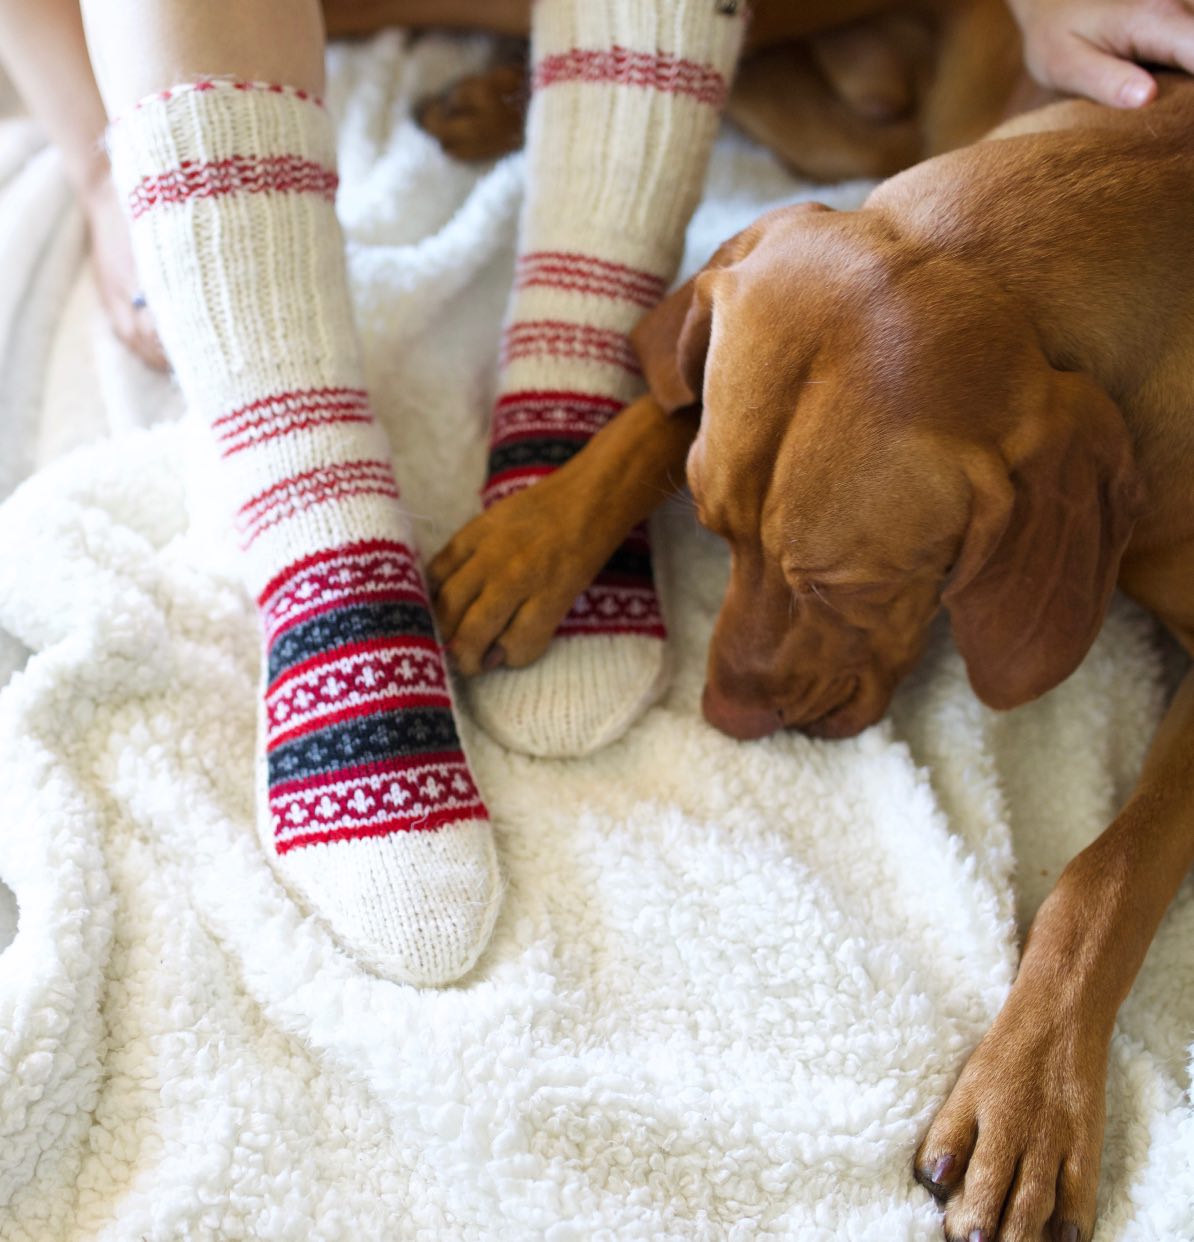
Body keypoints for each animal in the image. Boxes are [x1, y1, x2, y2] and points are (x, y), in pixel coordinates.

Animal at [432, 75, 1192, 1242]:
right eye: (713, 527)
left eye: (846, 585)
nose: (723, 716)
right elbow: (667, 400)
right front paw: (532, 534)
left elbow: (1110, 872)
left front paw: (1030, 1094)